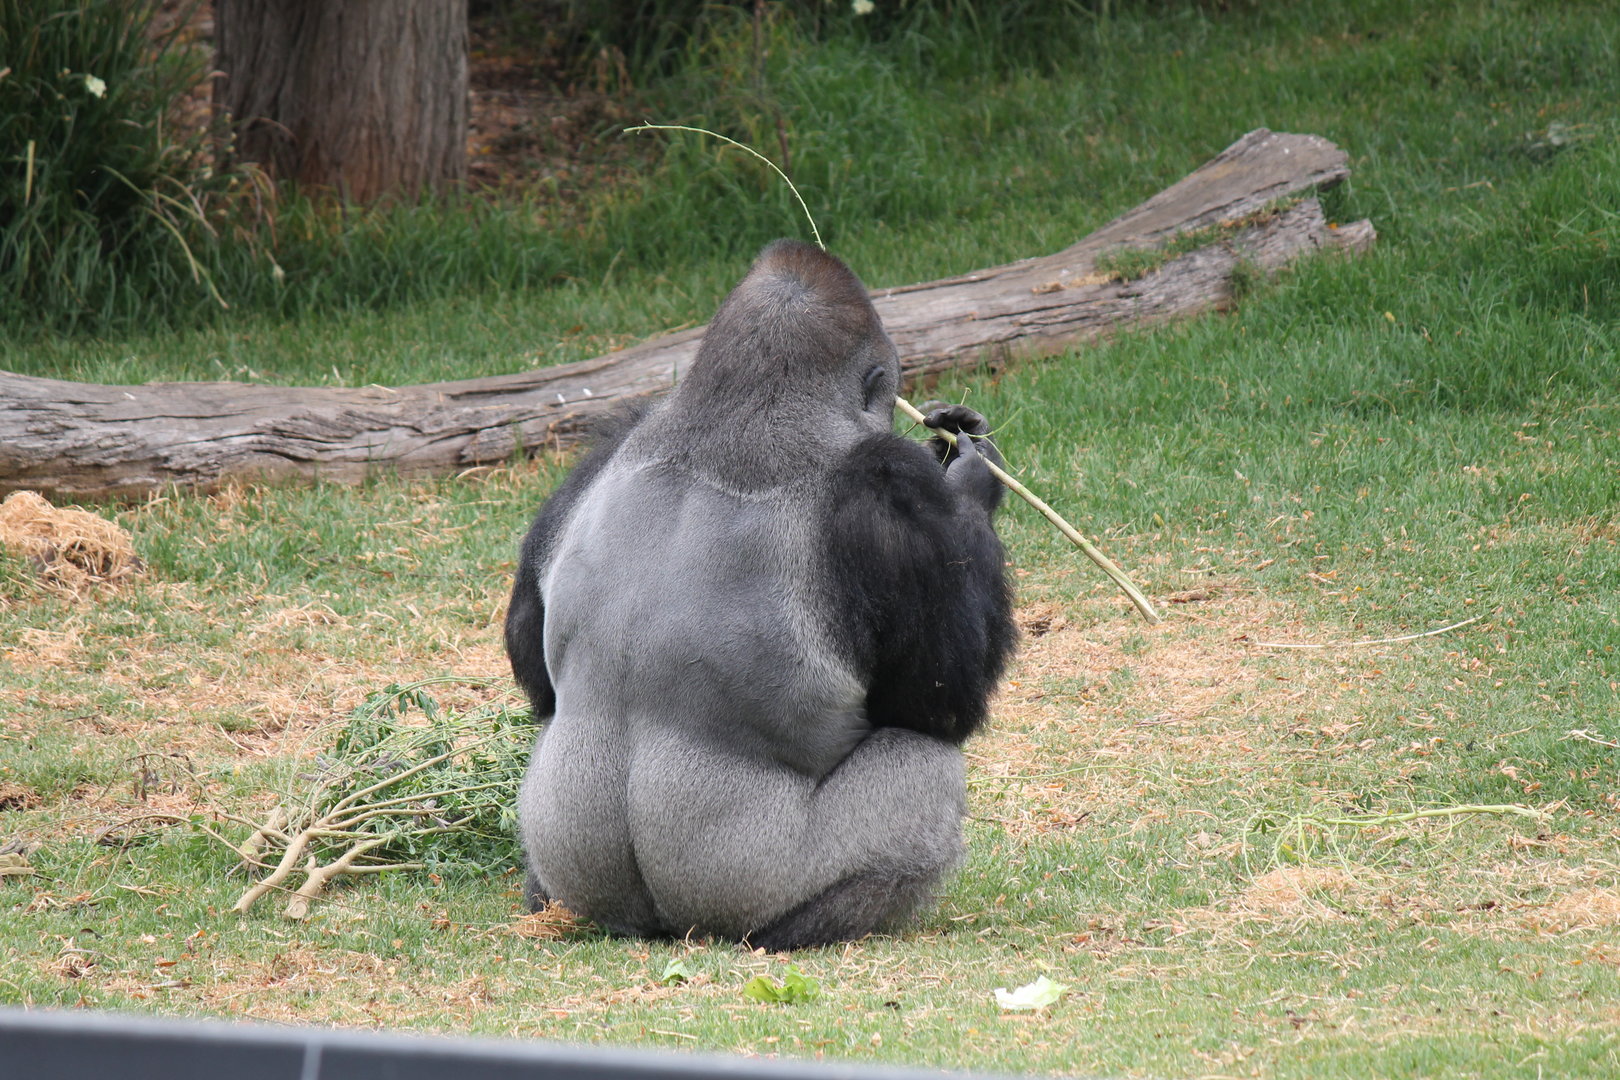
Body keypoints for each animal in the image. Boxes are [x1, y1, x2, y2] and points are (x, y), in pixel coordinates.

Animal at [504, 239, 1015, 950]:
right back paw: (816, 926)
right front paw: (972, 476)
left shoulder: (610, 439)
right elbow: (942, 698)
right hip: (740, 891)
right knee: (923, 762)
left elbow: (532, 667)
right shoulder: (888, 485)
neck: (743, 415)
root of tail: (659, 927)